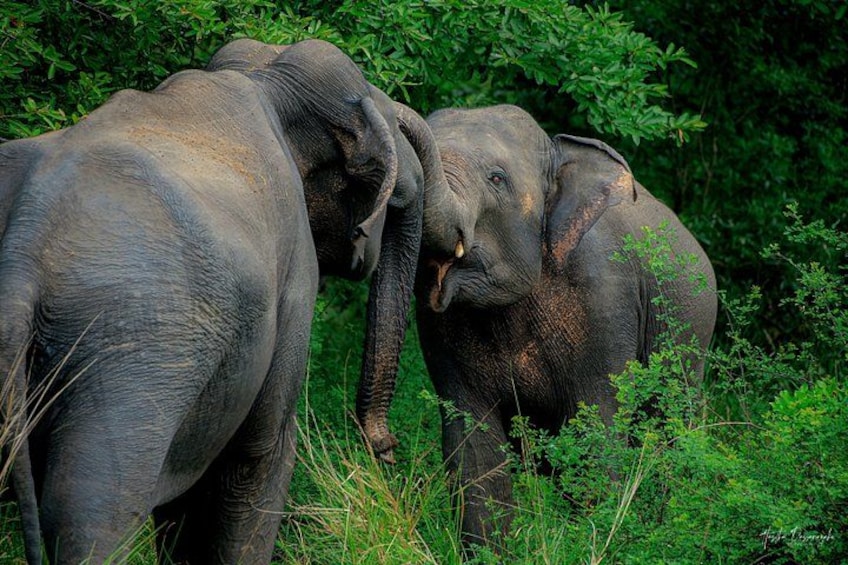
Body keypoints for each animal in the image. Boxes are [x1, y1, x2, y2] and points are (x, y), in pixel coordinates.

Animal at [0, 38, 464, 564]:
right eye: (402, 190)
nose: (387, 449)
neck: (265, 78)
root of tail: (22, 250)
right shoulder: (293, 277)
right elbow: (260, 452)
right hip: (132, 355)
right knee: (92, 513)